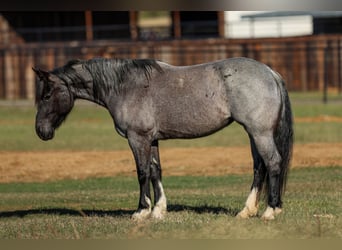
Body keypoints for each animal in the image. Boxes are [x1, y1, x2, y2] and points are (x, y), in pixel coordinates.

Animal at [32, 56, 294, 219]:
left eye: (46, 95)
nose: (41, 131)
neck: (126, 86)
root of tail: (270, 73)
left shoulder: (137, 139)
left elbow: (142, 173)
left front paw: (141, 211)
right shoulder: (152, 139)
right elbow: (156, 170)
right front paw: (158, 210)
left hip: (260, 133)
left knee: (272, 163)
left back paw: (270, 211)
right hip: (253, 133)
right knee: (259, 167)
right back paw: (247, 211)